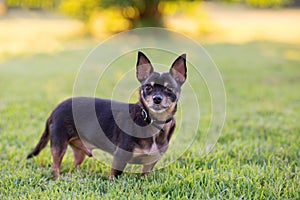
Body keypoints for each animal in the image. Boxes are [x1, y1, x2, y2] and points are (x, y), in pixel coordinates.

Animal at [28, 51, 188, 180]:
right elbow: (114, 176)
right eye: (148, 87)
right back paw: (57, 178)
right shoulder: (120, 157)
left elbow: (144, 176)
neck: (153, 121)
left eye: (169, 89)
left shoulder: (150, 162)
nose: (157, 99)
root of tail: (55, 109)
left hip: (78, 150)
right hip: (59, 145)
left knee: (75, 164)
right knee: (55, 166)